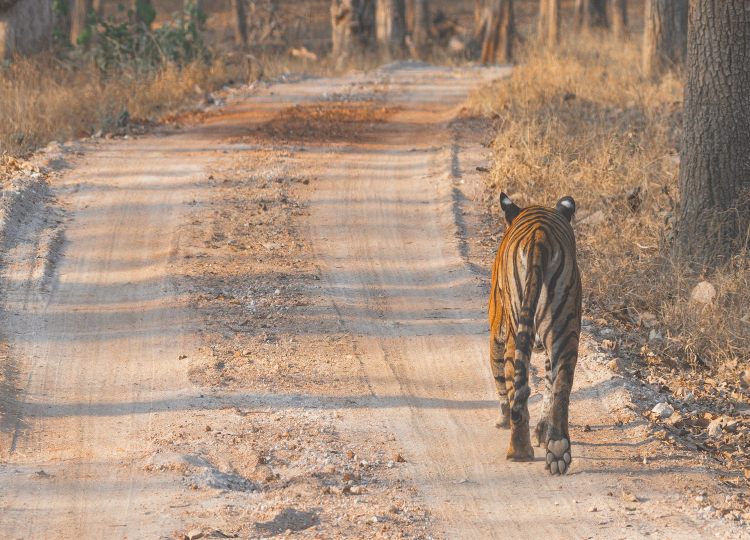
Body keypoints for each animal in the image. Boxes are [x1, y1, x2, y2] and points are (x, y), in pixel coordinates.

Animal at [490, 192, 584, 474]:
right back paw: (558, 449)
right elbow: (549, 385)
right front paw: (543, 432)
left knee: (516, 382)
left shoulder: (497, 331)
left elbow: (500, 378)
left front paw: (502, 419)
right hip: (566, 328)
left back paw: (519, 450)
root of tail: (540, 236)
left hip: (514, 331)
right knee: (562, 385)